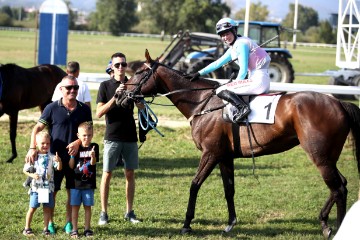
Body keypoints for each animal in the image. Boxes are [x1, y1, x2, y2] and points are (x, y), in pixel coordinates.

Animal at [123, 49, 360, 239]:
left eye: (139, 73)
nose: (122, 94)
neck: (203, 102)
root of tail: (339, 102)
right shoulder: (224, 156)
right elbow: (229, 189)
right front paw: (230, 224)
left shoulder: (210, 153)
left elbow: (194, 184)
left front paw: (187, 224)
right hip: (329, 156)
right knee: (341, 184)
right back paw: (328, 223)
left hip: (318, 155)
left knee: (337, 187)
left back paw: (334, 226)